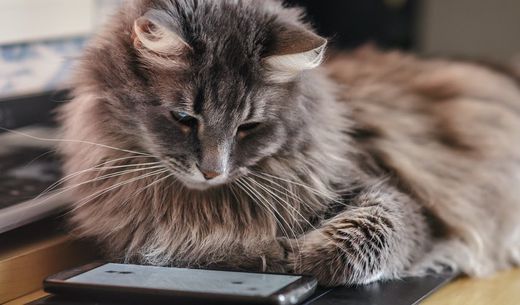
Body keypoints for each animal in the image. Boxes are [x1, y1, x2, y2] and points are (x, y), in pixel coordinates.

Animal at [57, 0, 520, 284]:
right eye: (184, 119)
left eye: (248, 127)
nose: (212, 171)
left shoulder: (393, 196)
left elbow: (356, 243)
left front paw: (287, 253)